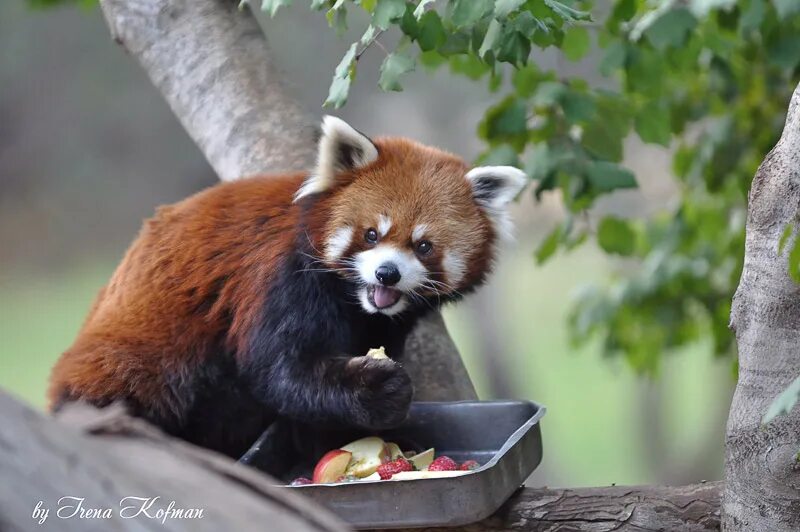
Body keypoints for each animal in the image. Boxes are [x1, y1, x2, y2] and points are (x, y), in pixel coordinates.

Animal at [47, 117, 528, 462]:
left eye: (423, 246)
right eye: (371, 235)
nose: (387, 274)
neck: (351, 299)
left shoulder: (380, 321)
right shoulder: (280, 278)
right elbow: (279, 368)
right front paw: (380, 389)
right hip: (138, 358)